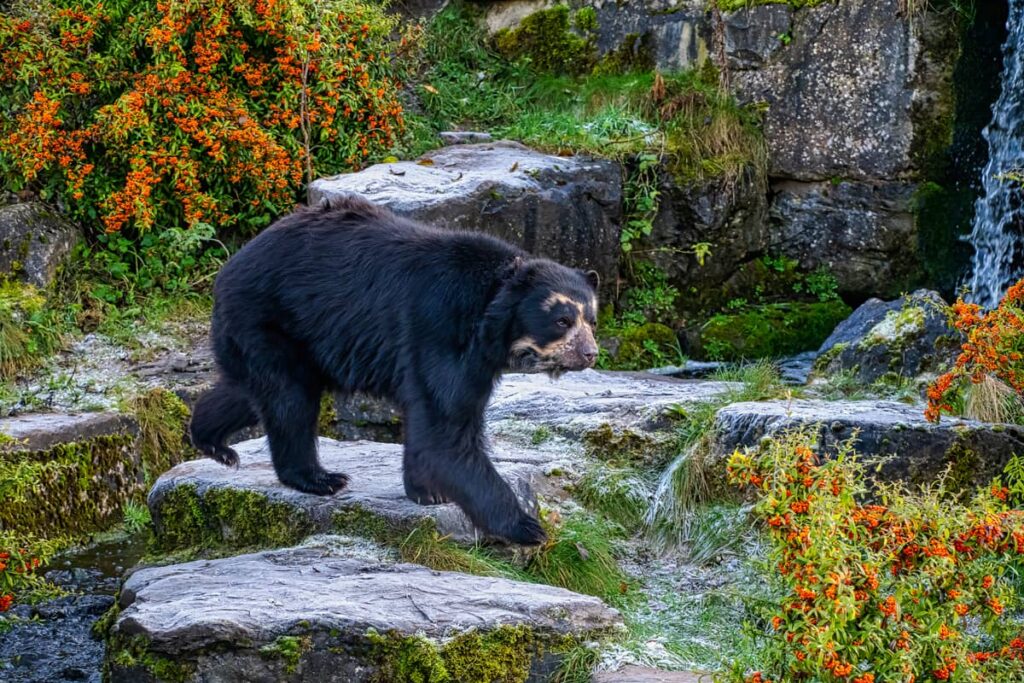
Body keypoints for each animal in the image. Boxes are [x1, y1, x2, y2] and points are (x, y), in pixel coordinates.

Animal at [189, 195, 600, 545]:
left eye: (591, 319)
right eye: (562, 320)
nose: (590, 353)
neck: (489, 320)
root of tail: (228, 270)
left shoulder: (475, 359)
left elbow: (434, 422)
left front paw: (427, 492)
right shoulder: (439, 327)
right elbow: (446, 430)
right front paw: (527, 526)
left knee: (251, 391)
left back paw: (212, 441)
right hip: (270, 318)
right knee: (289, 400)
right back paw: (320, 479)